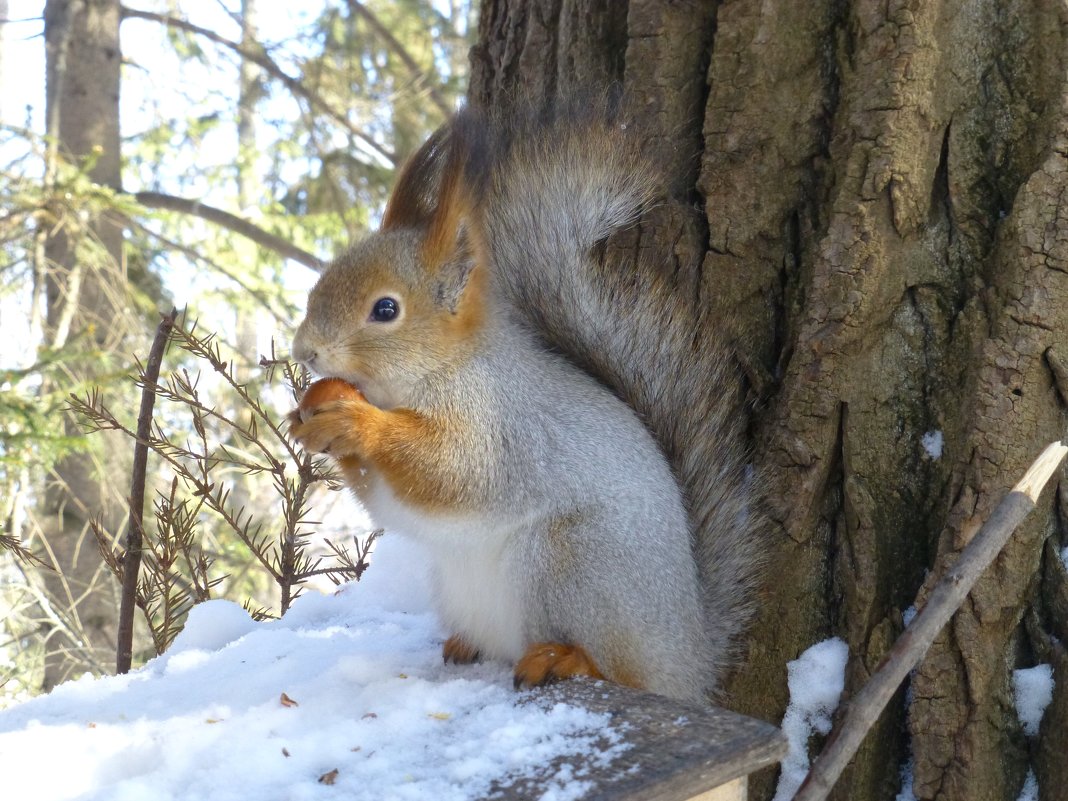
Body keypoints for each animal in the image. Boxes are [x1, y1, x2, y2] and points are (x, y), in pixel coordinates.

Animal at [288, 98, 764, 700]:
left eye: (386, 309)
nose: (305, 351)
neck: (430, 375)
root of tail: (690, 661)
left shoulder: (501, 423)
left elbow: (454, 473)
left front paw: (356, 422)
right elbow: (391, 502)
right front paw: (312, 417)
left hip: (573, 563)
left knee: (622, 670)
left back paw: (568, 660)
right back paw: (466, 645)